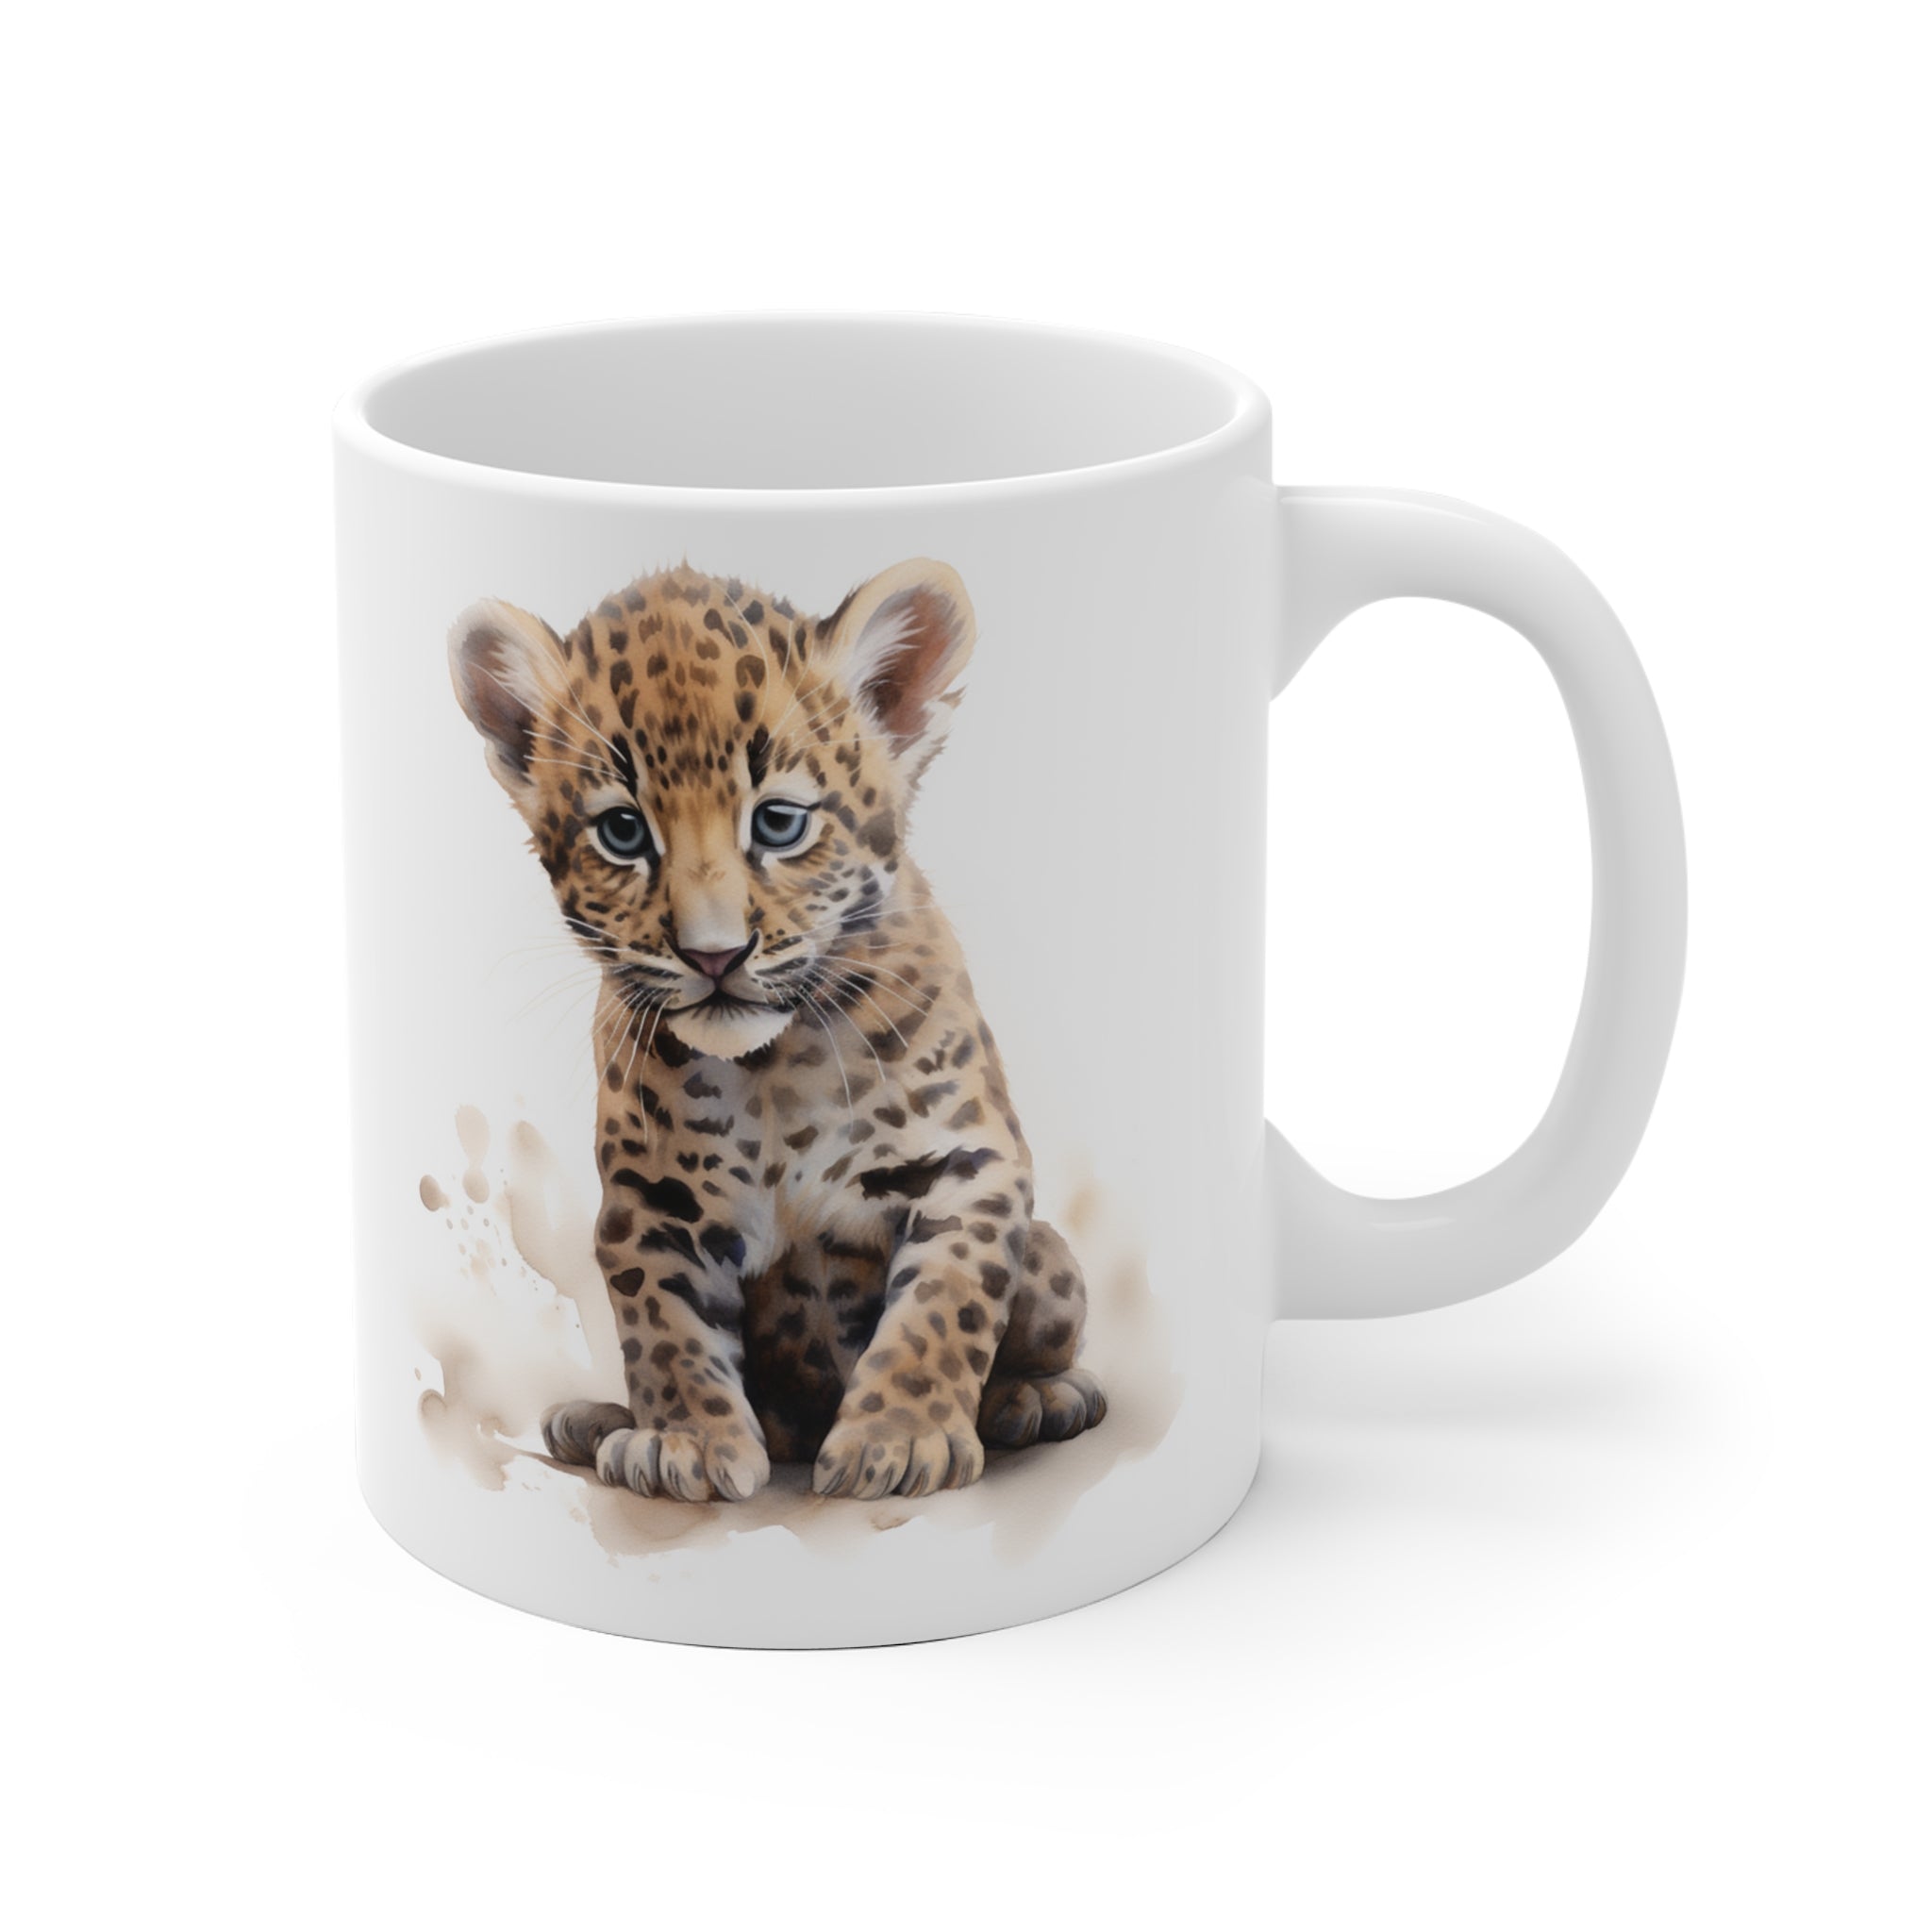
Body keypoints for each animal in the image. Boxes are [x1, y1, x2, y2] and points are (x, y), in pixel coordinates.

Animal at [449, 558, 1105, 1502]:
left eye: (779, 822)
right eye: (622, 832)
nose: (714, 954)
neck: (774, 1070)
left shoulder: (968, 1165)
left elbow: (942, 1308)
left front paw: (900, 1439)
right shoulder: (650, 1204)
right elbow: (666, 1329)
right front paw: (683, 1441)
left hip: (1052, 1264)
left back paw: (1037, 1399)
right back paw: (596, 1420)